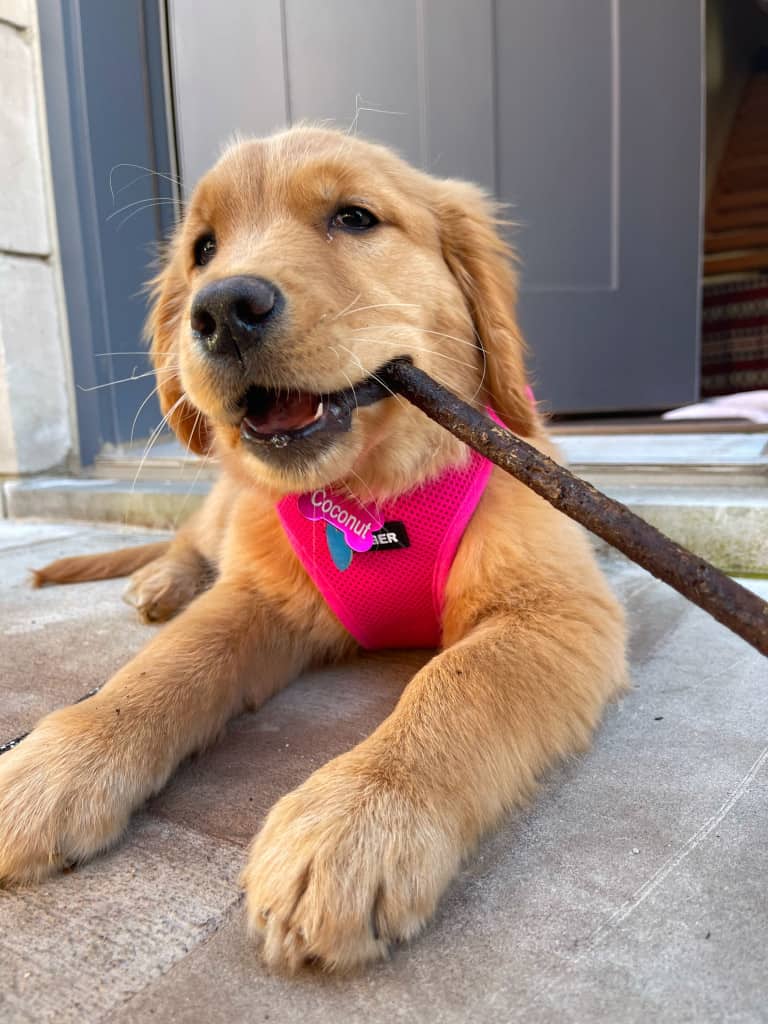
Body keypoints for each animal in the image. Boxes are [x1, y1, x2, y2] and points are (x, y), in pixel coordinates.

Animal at [0, 128, 626, 966]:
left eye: (354, 217)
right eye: (203, 248)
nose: (222, 309)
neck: (375, 496)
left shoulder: (554, 610)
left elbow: (457, 685)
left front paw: (358, 820)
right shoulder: (259, 593)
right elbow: (164, 667)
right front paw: (58, 759)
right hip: (226, 505)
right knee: (190, 542)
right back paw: (160, 584)